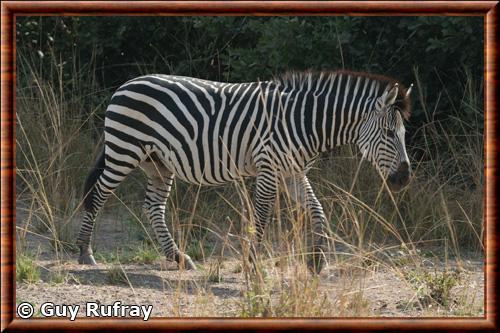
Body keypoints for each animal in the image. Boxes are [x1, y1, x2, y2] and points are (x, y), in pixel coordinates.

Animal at [76, 69, 412, 272]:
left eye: (403, 133)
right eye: (389, 134)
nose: (404, 179)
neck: (304, 122)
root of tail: (127, 84)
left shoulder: (293, 172)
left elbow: (317, 209)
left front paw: (317, 261)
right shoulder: (269, 167)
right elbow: (261, 215)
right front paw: (252, 263)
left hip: (158, 162)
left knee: (153, 207)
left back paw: (178, 257)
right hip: (124, 150)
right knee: (97, 194)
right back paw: (84, 252)